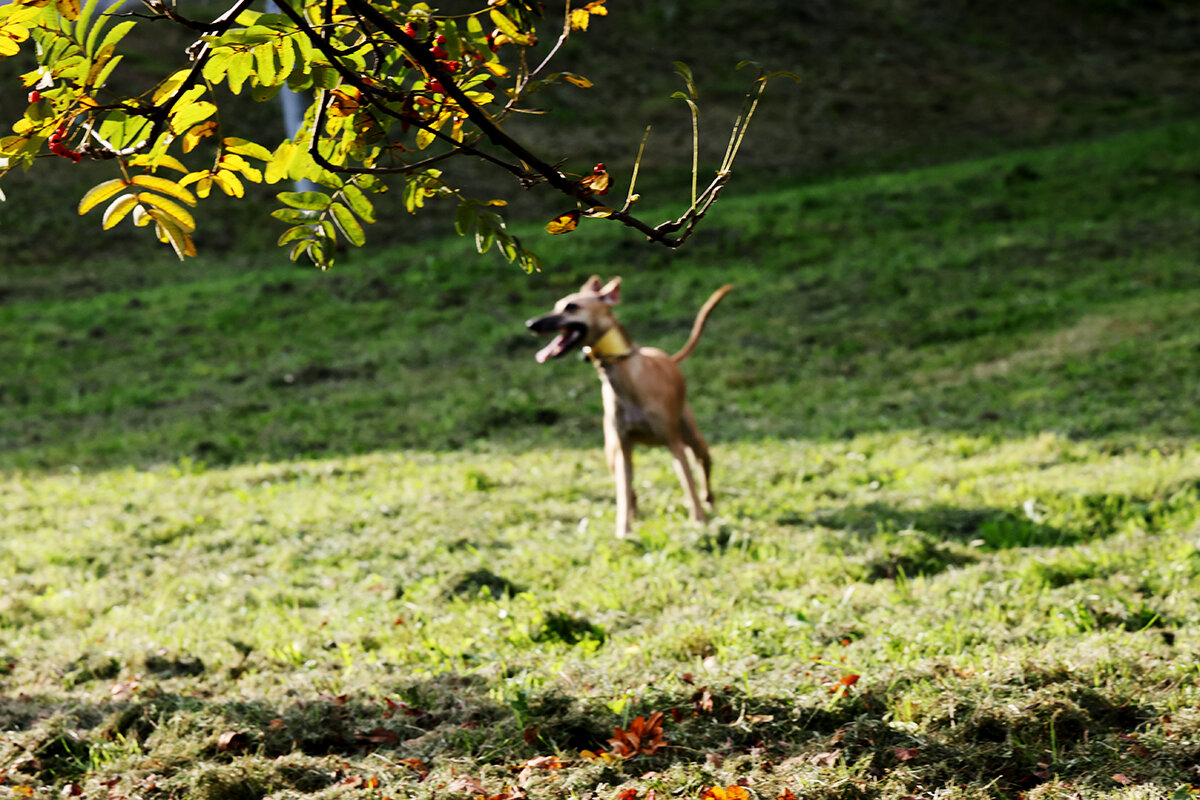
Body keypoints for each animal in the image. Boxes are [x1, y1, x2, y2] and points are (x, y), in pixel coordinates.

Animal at [525, 277, 729, 537]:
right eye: (556, 305)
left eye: (571, 307)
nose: (531, 324)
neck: (628, 379)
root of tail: (668, 358)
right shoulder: (622, 447)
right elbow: (623, 492)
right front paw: (624, 531)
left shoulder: (674, 444)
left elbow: (689, 484)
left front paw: (699, 521)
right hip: (612, 453)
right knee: (630, 491)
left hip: (693, 438)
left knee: (703, 470)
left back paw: (709, 502)